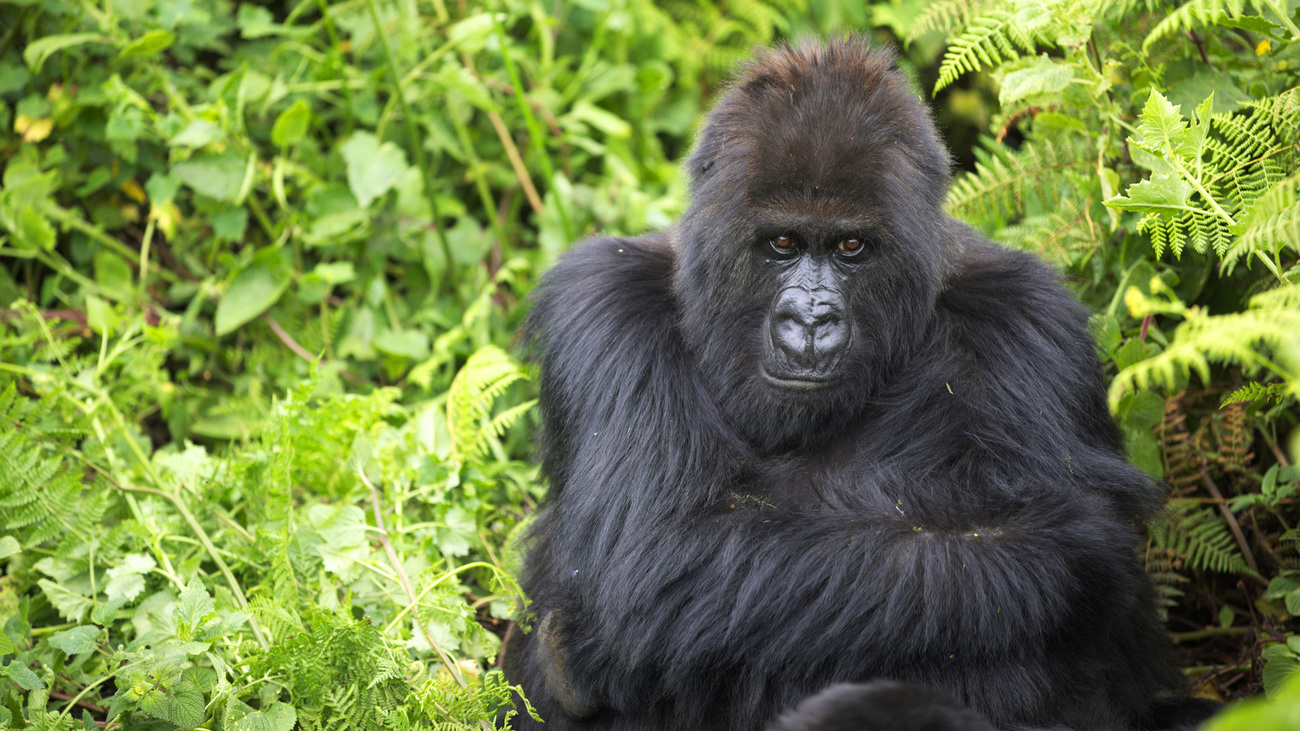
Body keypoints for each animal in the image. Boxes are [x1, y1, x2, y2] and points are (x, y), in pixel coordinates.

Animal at [499, 38, 1216, 728]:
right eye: (782, 243)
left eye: (851, 248)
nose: (811, 320)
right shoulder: (603, 304)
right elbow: (657, 550)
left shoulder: (1032, 321)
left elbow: (1061, 546)